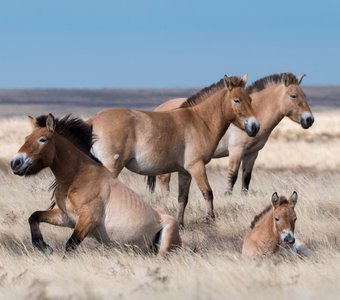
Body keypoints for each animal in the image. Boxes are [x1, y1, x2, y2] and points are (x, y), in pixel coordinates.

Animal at [9, 113, 181, 256]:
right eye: (26, 138)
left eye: (43, 139)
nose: (15, 163)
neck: (78, 177)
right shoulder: (66, 217)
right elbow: (34, 216)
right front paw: (44, 247)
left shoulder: (88, 220)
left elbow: (70, 245)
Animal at [88, 74, 260, 225]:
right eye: (237, 100)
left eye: (250, 99)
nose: (255, 126)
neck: (200, 121)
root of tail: (93, 119)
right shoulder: (196, 166)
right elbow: (208, 192)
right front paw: (210, 219)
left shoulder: (184, 172)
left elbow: (182, 198)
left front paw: (180, 224)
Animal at [154, 73, 314, 193]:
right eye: (293, 96)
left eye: (305, 95)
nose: (309, 119)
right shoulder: (236, 151)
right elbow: (233, 176)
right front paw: (227, 196)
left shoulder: (251, 154)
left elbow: (246, 179)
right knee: (163, 179)